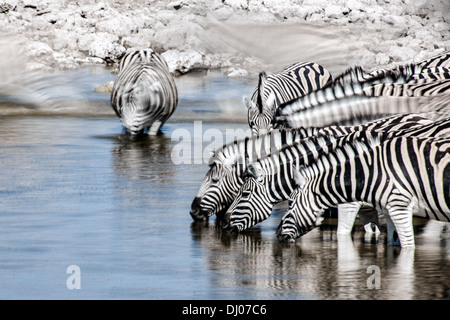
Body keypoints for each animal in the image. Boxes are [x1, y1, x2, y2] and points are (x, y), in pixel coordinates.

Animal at [278, 132, 450, 248]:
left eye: (290, 203)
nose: (277, 235)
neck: (372, 172)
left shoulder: (399, 207)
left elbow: (408, 248)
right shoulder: (389, 211)